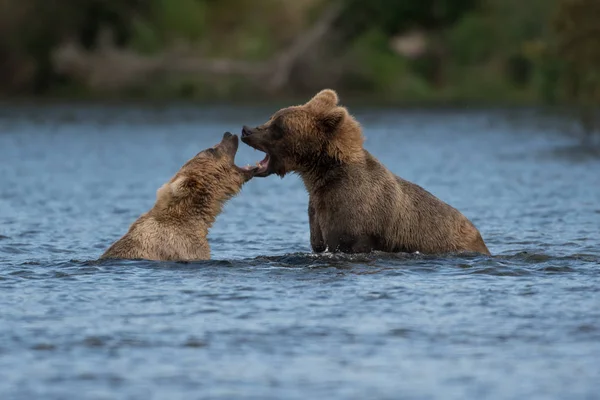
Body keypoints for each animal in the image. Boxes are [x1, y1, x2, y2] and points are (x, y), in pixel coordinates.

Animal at [241, 89, 490, 255]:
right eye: (272, 117)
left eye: (278, 127)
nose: (246, 130)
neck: (320, 175)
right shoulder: (318, 212)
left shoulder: (356, 216)